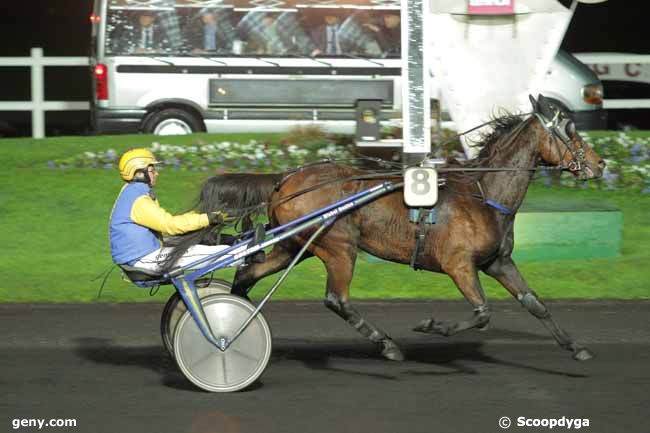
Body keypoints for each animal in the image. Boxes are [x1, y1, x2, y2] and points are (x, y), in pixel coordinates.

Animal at [173, 94, 604, 362]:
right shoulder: (459, 264)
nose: (599, 165)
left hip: (294, 245)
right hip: (337, 246)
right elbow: (482, 312)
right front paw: (431, 325)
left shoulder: (497, 262)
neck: (482, 193)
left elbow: (535, 303)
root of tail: (287, 177)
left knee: (248, 274)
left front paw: (576, 347)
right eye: (569, 130)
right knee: (337, 299)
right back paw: (387, 344)